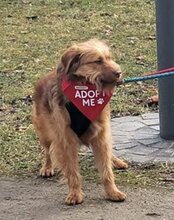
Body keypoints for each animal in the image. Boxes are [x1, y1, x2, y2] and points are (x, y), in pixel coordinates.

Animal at [32, 38, 128, 205]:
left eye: (109, 58)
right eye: (98, 61)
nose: (119, 72)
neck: (84, 87)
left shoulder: (101, 135)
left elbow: (106, 169)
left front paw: (112, 191)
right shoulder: (66, 139)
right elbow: (72, 171)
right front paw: (75, 193)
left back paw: (115, 161)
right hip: (44, 131)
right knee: (47, 151)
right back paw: (47, 167)